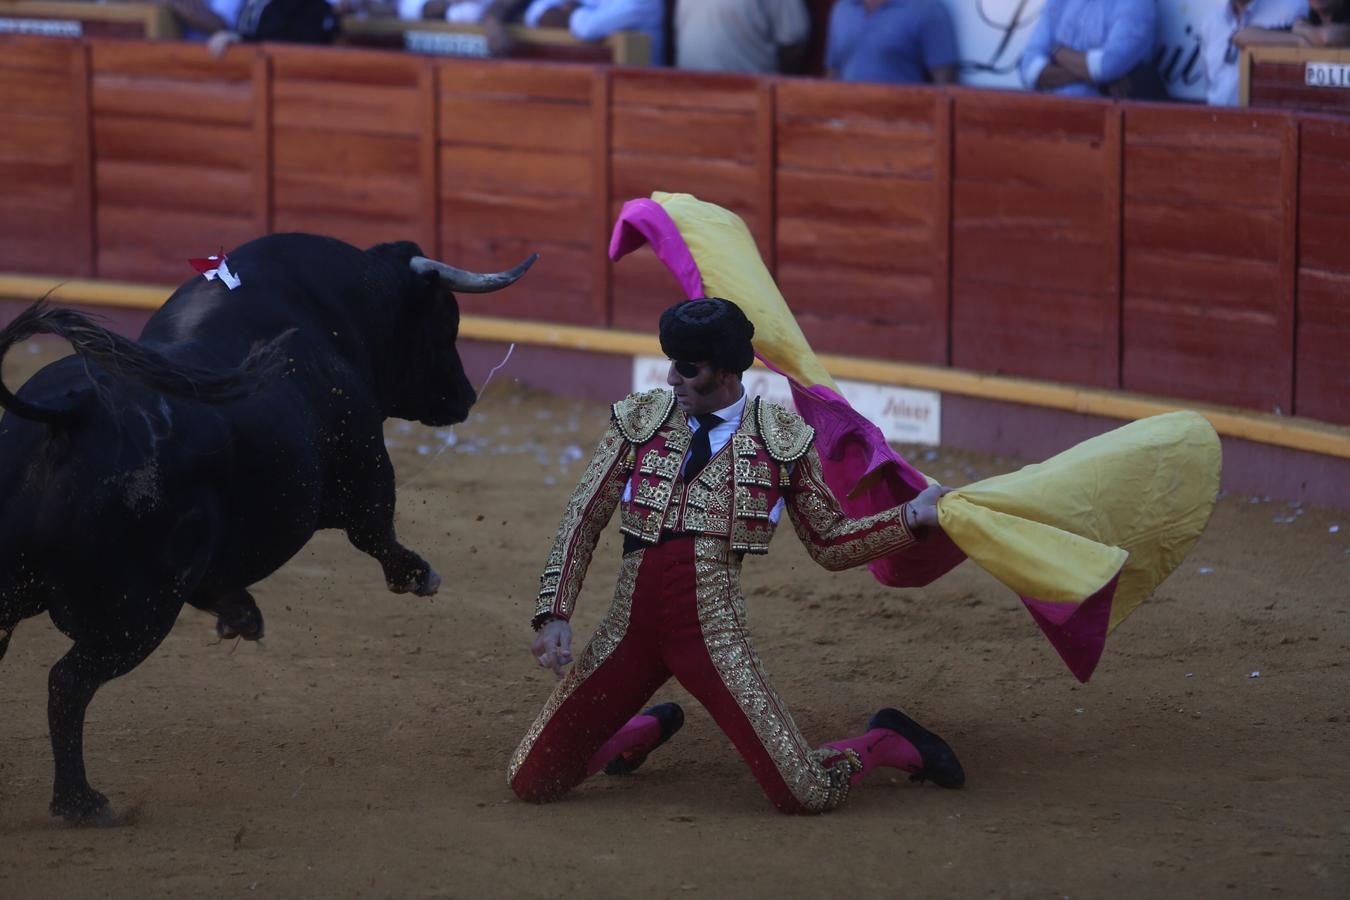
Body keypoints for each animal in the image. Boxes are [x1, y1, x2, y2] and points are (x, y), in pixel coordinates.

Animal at [0, 230, 537, 825]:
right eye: (446, 322)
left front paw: (240, 615)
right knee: (67, 685)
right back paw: (81, 802)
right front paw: (419, 575)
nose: (466, 396)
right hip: (135, 615)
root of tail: (68, 418)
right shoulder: (366, 470)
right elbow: (377, 532)